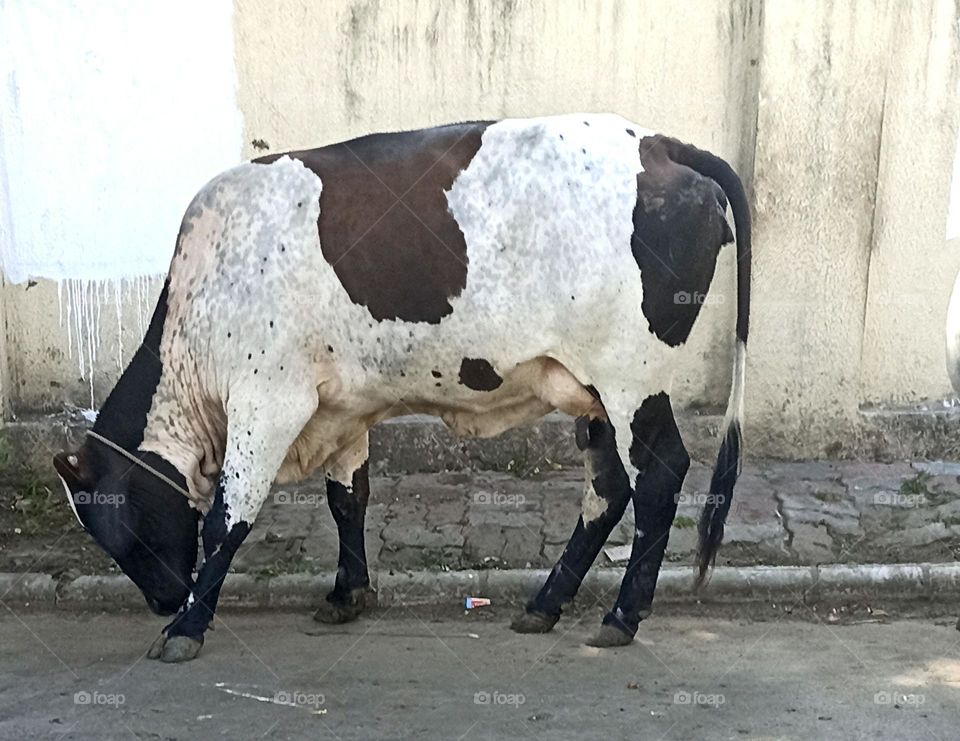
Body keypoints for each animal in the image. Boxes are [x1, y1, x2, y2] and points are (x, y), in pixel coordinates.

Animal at [53, 113, 750, 662]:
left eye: (116, 527)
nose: (164, 597)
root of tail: (656, 143)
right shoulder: (340, 407)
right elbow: (348, 499)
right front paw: (347, 594)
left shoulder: (268, 399)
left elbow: (229, 519)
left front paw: (187, 625)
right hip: (589, 387)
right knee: (607, 491)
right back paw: (547, 602)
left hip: (633, 379)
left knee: (659, 476)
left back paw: (621, 615)